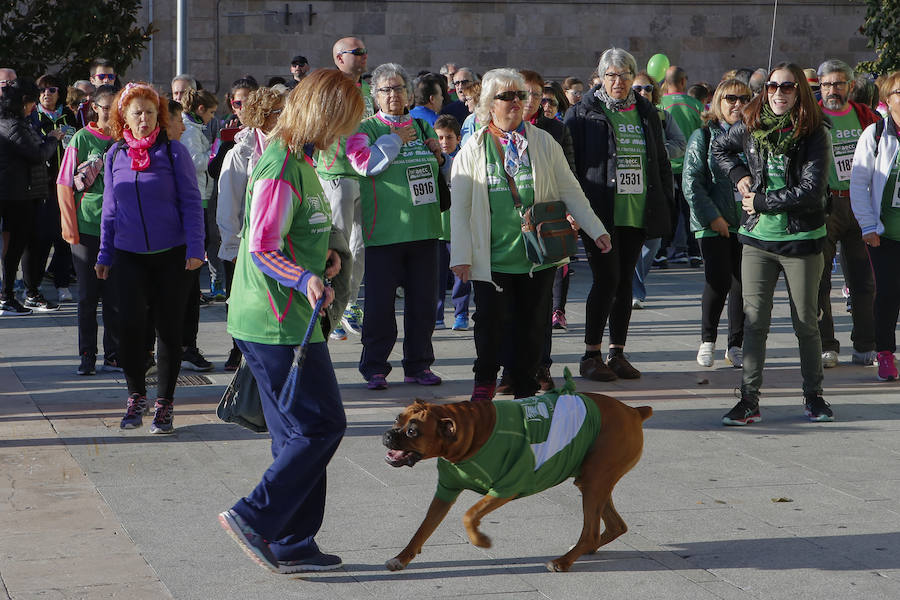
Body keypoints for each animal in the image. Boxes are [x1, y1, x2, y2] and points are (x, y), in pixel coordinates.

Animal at [382, 384, 652, 572]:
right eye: (397, 419)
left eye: (412, 431)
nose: (388, 434)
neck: (470, 431)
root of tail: (632, 411)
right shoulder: (446, 491)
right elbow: (423, 529)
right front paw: (402, 558)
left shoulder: (504, 489)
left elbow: (469, 515)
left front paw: (481, 540)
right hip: (593, 482)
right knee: (615, 525)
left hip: (596, 481)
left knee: (591, 531)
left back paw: (564, 561)